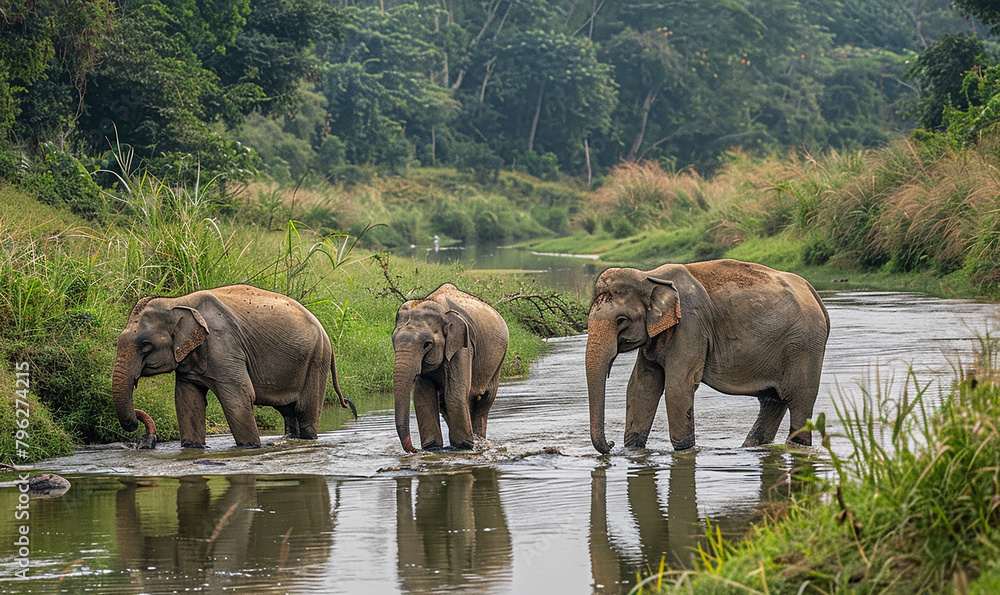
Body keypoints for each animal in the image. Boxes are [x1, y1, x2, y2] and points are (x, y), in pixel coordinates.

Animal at [112, 285, 356, 448]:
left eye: (145, 346)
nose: (147, 440)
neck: (178, 301)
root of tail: (325, 332)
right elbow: (187, 401)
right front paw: (193, 448)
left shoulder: (224, 346)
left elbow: (238, 397)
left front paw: (251, 448)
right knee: (288, 410)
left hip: (317, 357)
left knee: (305, 410)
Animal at [392, 283, 509, 452]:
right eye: (393, 342)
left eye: (427, 344)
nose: (414, 450)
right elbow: (423, 396)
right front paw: (432, 448)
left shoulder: (463, 346)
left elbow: (455, 394)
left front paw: (463, 447)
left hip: (498, 361)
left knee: (484, 401)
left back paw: (478, 441)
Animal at [586, 259, 829, 453]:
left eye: (621, 320)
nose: (611, 444)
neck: (650, 275)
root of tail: (814, 294)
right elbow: (641, 386)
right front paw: (633, 451)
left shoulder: (691, 324)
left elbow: (678, 385)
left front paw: (685, 451)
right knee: (772, 401)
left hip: (804, 346)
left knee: (799, 401)